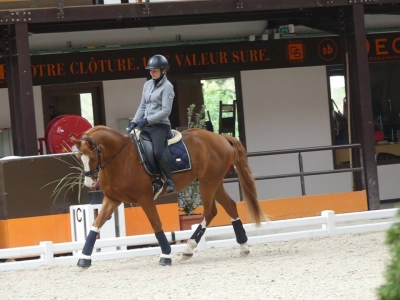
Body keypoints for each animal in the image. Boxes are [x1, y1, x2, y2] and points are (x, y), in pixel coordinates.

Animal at [72, 125, 266, 268]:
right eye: (79, 157)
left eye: (92, 157)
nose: (89, 183)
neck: (121, 159)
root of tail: (221, 137)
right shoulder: (112, 199)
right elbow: (95, 225)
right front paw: (84, 258)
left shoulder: (145, 198)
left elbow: (156, 224)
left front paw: (165, 255)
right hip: (214, 182)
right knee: (230, 206)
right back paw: (243, 245)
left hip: (207, 182)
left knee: (210, 211)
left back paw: (189, 248)